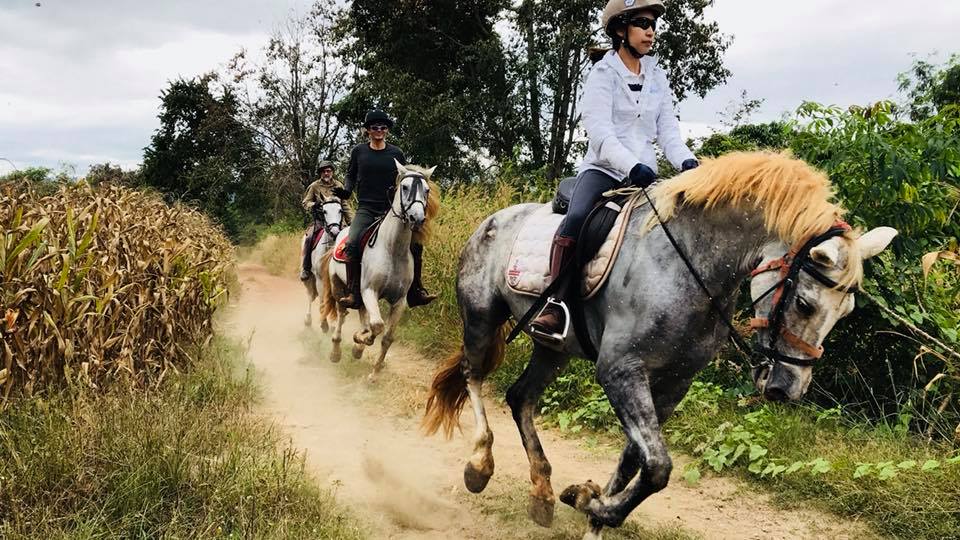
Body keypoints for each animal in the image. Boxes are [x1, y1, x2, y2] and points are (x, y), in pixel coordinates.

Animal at [303, 197, 346, 331]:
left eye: (340, 210)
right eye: (324, 211)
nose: (334, 232)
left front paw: (333, 324)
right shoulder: (320, 279)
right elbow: (323, 299)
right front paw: (324, 324)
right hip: (310, 278)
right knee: (310, 295)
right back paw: (308, 320)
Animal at [318, 161, 439, 379]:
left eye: (427, 190)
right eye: (405, 187)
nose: (417, 218)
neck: (392, 248)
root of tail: (340, 232)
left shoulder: (399, 301)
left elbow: (387, 337)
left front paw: (374, 372)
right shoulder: (369, 291)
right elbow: (377, 326)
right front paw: (361, 339)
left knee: (360, 312)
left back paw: (357, 349)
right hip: (338, 286)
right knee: (342, 313)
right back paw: (336, 351)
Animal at [422, 152, 898, 539]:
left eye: (846, 312)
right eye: (803, 302)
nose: (786, 389)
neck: (689, 262)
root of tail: (492, 221)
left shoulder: (673, 383)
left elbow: (636, 459)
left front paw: (592, 509)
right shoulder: (620, 370)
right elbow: (657, 468)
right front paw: (591, 502)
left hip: (552, 349)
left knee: (521, 398)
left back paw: (542, 491)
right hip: (482, 319)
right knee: (473, 376)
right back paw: (479, 465)